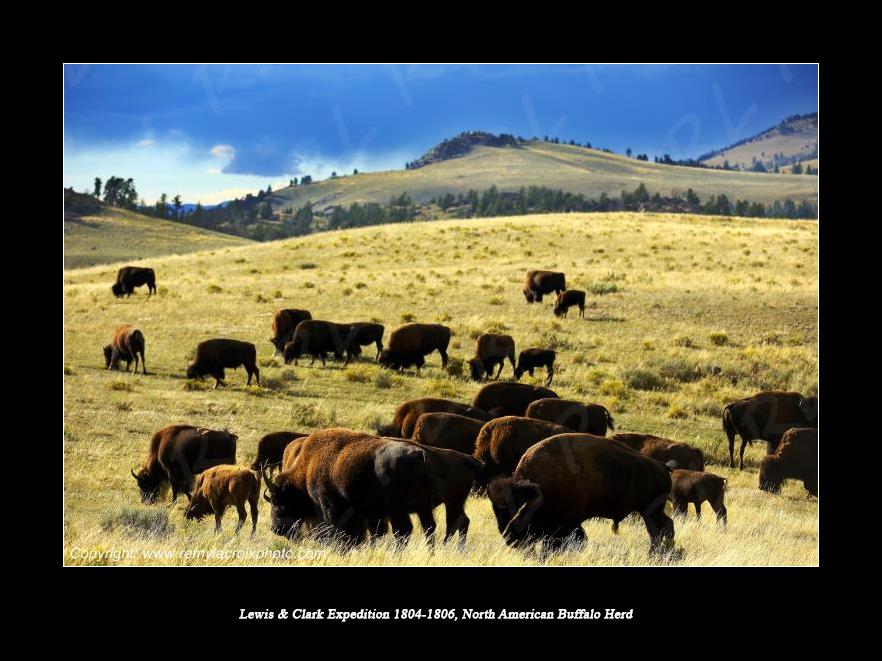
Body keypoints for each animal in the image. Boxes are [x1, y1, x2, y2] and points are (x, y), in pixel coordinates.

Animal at [487, 433, 674, 555]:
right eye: (497, 511)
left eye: (519, 506)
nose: (508, 537)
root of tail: (663, 467)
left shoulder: (566, 523)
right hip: (651, 512)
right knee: (665, 527)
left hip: (650, 512)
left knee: (658, 531)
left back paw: (654, 553)